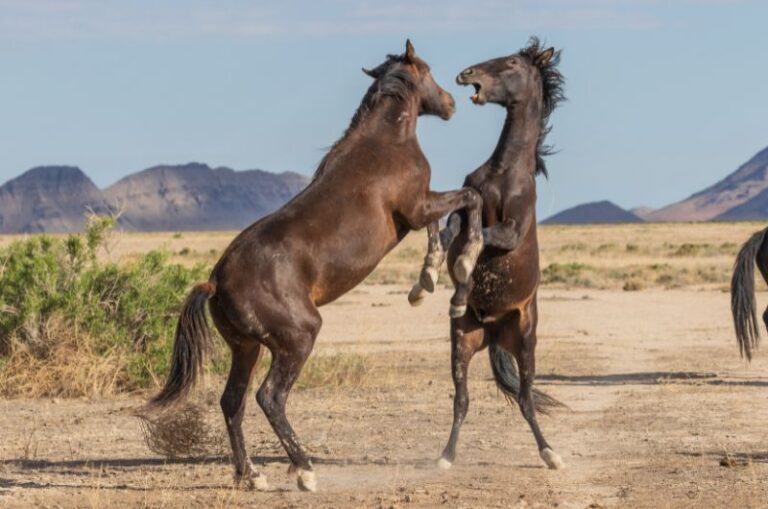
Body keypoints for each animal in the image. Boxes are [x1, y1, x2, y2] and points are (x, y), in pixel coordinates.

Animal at [148, 40, 485, 493]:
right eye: (429, 71)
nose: (450, 103)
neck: (385, 141)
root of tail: (216, 282)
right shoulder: (416, 207)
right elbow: (468, 199)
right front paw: (460, 263)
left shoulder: (419, 209)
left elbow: (440, 226)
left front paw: (425, 280)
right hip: (297, 338)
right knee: (269, 397)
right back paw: (304, 469)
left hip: (246, 347)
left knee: (232, 402)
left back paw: (251, 475)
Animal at [408, 37, 567, 470]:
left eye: (511, 62)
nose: (466, 74)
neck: (503, 173)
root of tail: (495, 330)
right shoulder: (466, 205)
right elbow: (453, 228)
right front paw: (427, 279)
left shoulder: (512, 230)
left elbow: (480, 238)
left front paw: (460, 273)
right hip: (462, 342)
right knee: (462, 400)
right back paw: (446, 457)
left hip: (526, 343)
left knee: (526, 399)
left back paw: (551, 454)